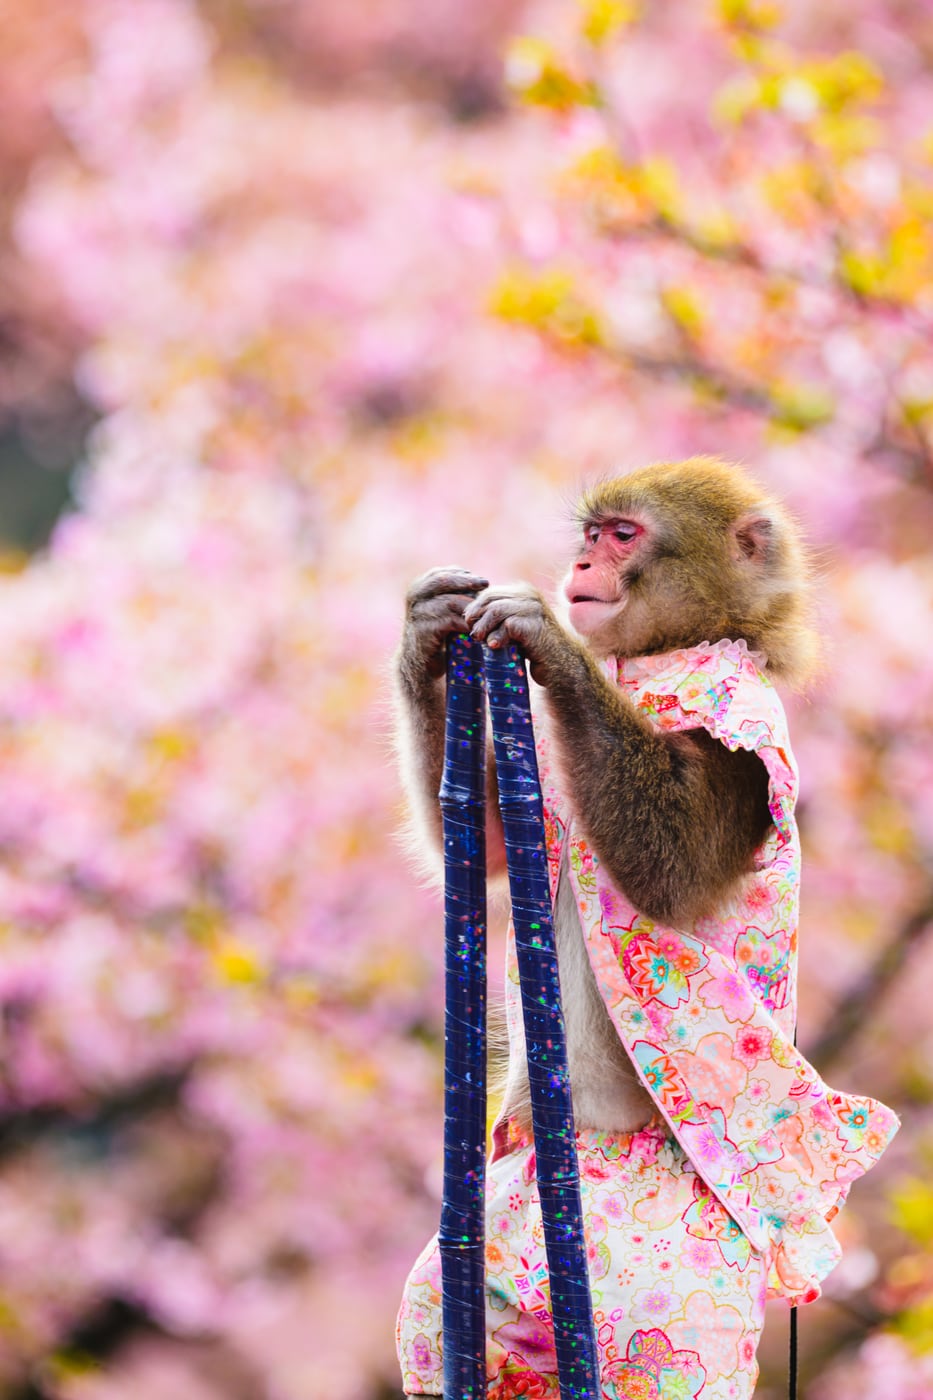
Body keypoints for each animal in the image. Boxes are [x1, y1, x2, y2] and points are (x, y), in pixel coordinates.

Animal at [395, 458, 897, 1400]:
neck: (671, 651)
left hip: (670, 1295)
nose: (583, 566)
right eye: (590, 534)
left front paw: (551, 646)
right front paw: (426, 629)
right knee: (437, 1320)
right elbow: (486, 840)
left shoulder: (744, 738)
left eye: (621, 535)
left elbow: (669, 866)